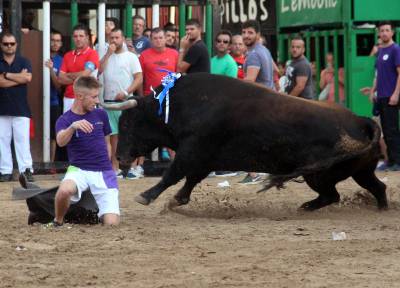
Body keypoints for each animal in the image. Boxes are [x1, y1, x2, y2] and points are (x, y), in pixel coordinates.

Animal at [109, 73, 388, 210]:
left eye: (127, 123)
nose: (120, 158)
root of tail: (362, 120)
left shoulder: (192, 152)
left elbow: (172, 174)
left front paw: (146, 196)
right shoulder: (203, 159)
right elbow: (190, 179)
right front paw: (177, 200)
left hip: (318, 175)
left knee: (332, 195)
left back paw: (307, 206)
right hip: (360, 171)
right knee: (376, 187)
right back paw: (380, 208)